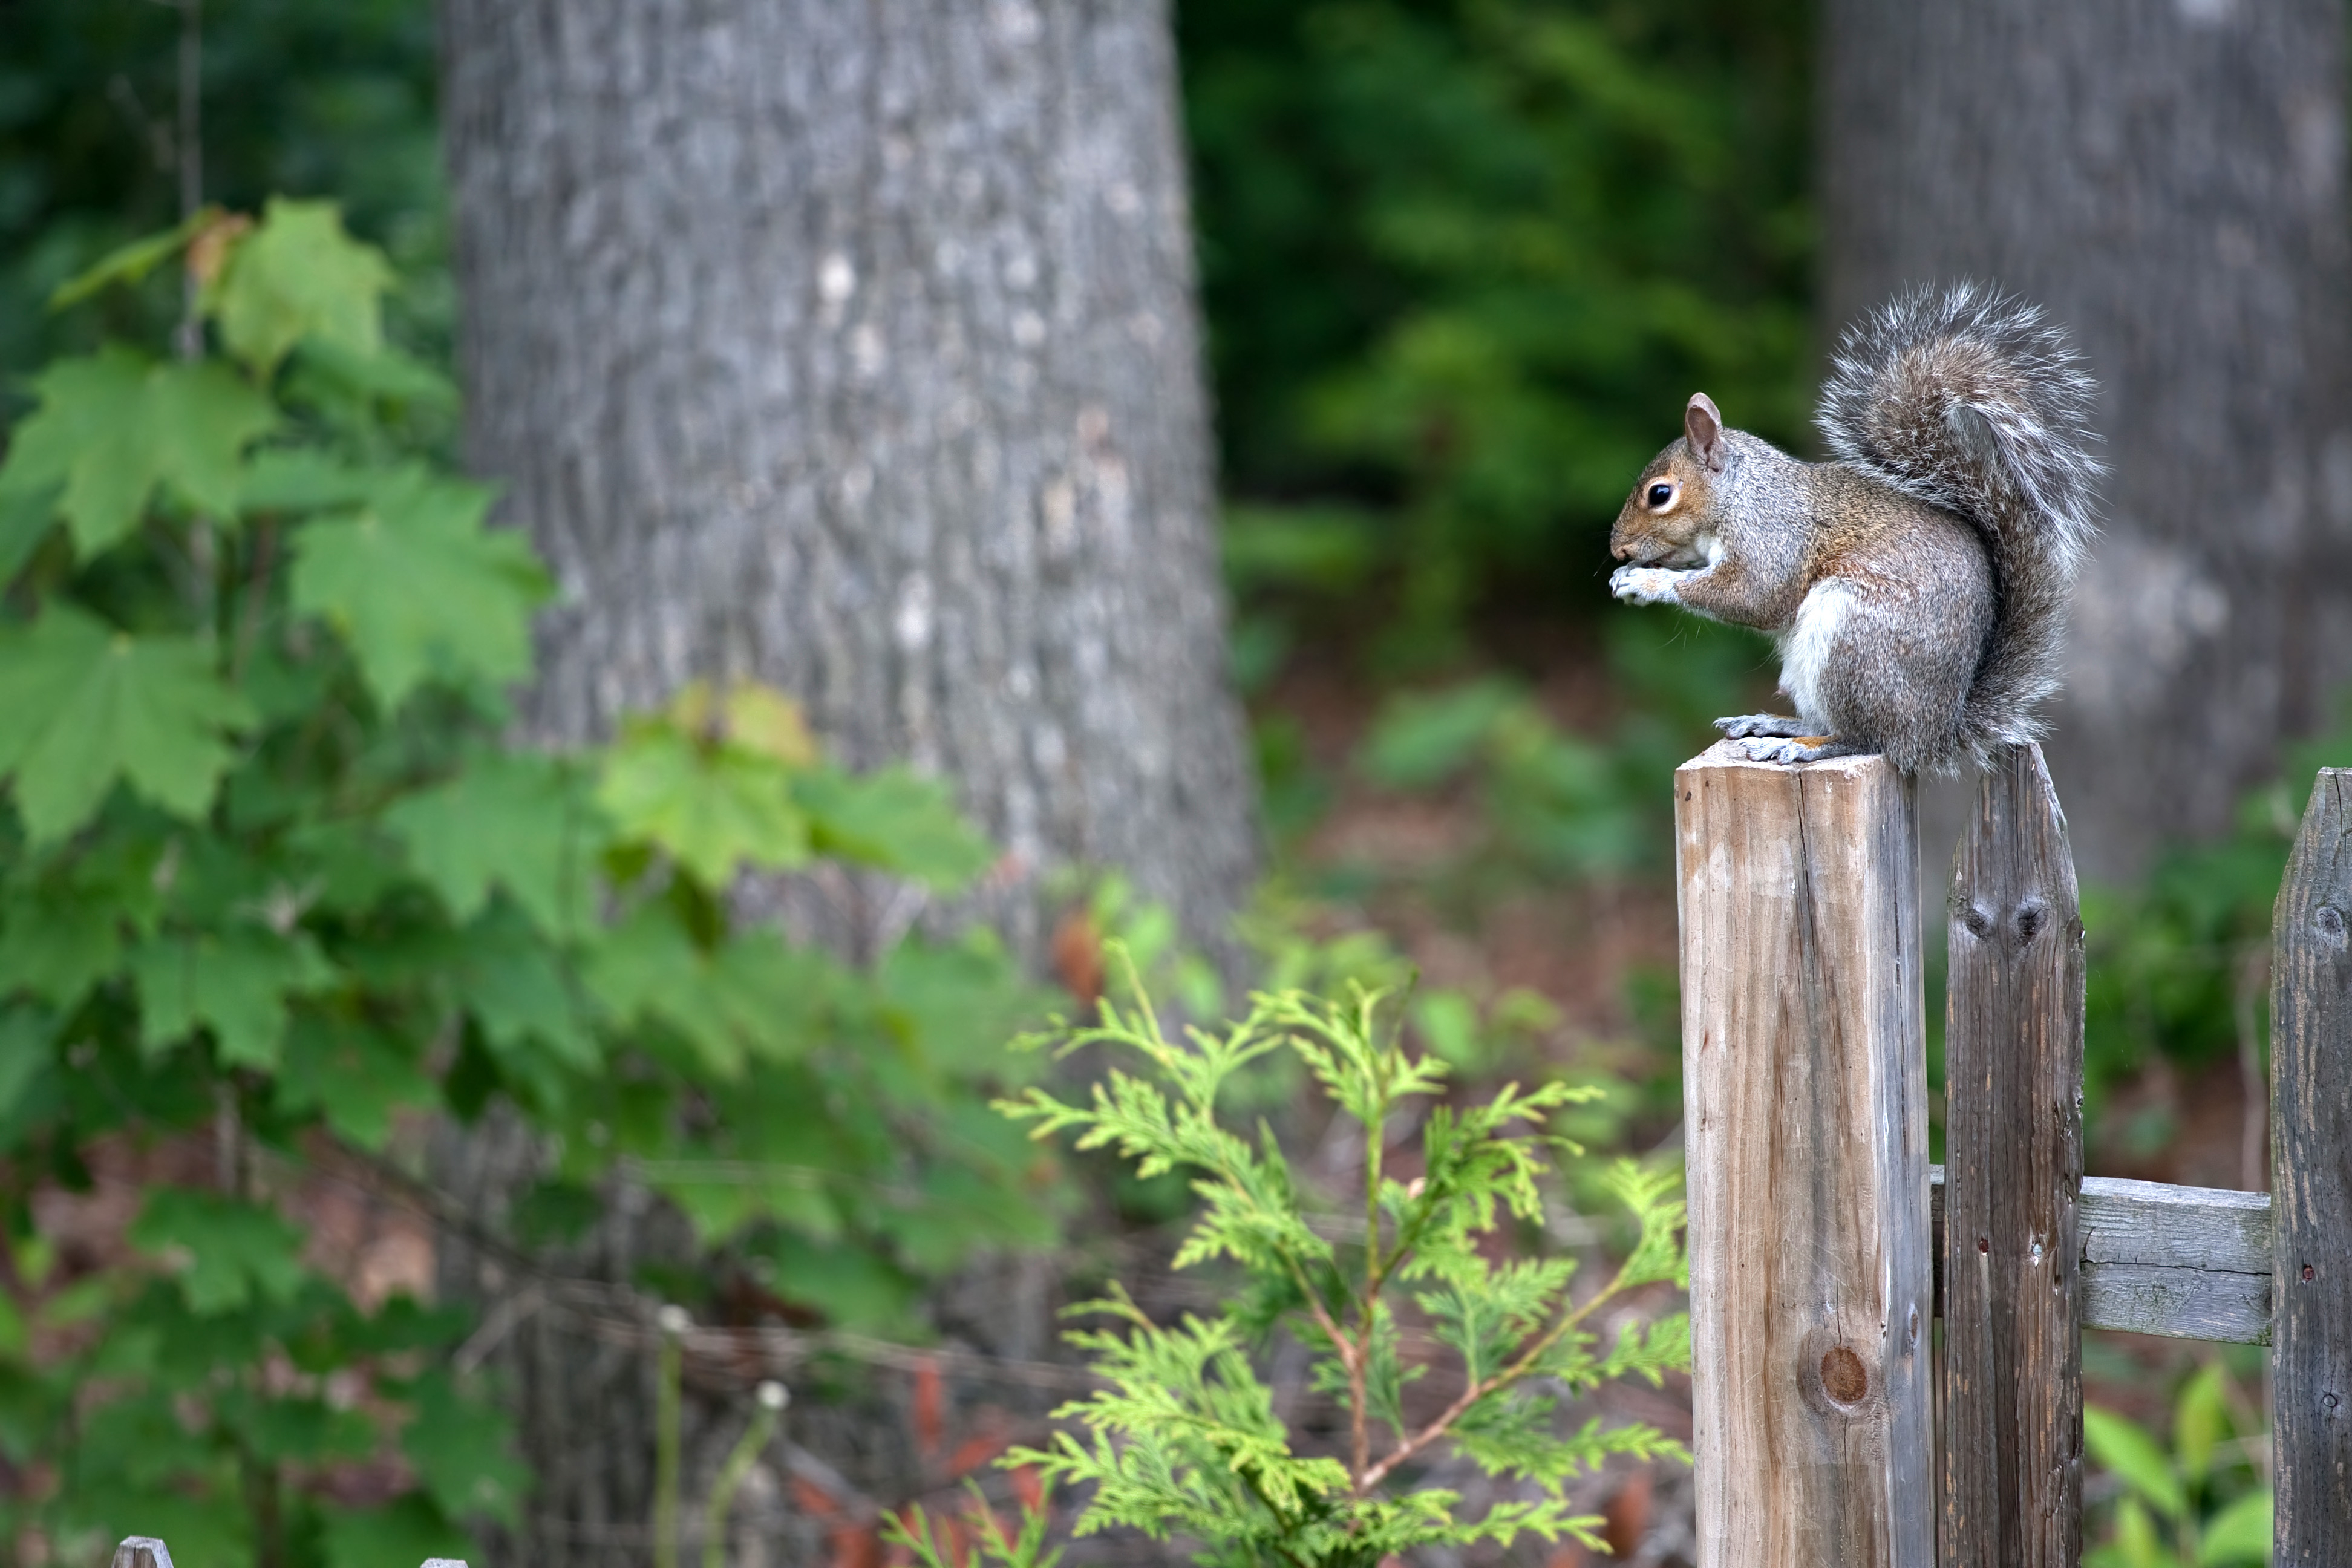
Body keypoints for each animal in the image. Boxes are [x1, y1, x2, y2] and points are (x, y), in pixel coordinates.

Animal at [1609, 288, 2107, 780]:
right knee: (1827, 721)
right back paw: (1772, 725)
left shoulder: (1772, 534)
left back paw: (1801, 747)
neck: (1740, 492)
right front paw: (1629, 575)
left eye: (1660, 494)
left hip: (1853, 643)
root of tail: (1934, 734)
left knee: (1865, 738)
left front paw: (1647, 581)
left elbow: (1755, 596)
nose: (1618, 550)